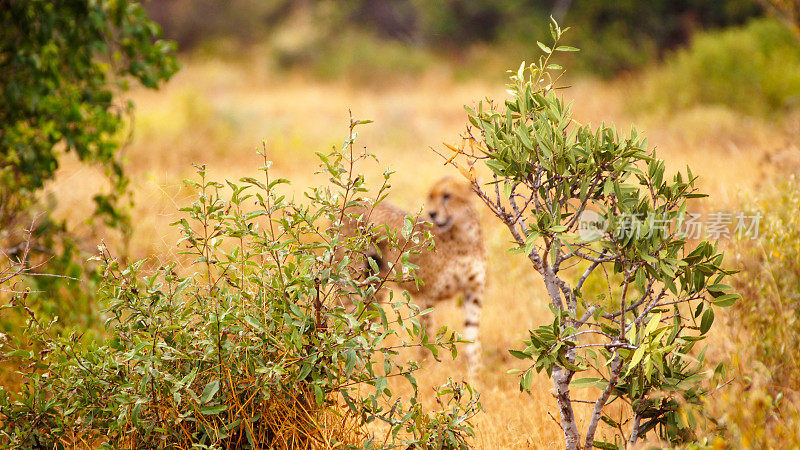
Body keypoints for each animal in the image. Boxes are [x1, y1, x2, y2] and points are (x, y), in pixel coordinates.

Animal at [340, 178, 484, 370]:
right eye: (431, 196)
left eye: (447, 195)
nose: (432, 213)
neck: (463, 236)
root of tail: (352, 203)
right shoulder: (427, 296)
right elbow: (426, 339)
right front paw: (425, 369)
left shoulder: (473, 293)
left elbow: (473, 340)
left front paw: (474, 373)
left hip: (376, 286)